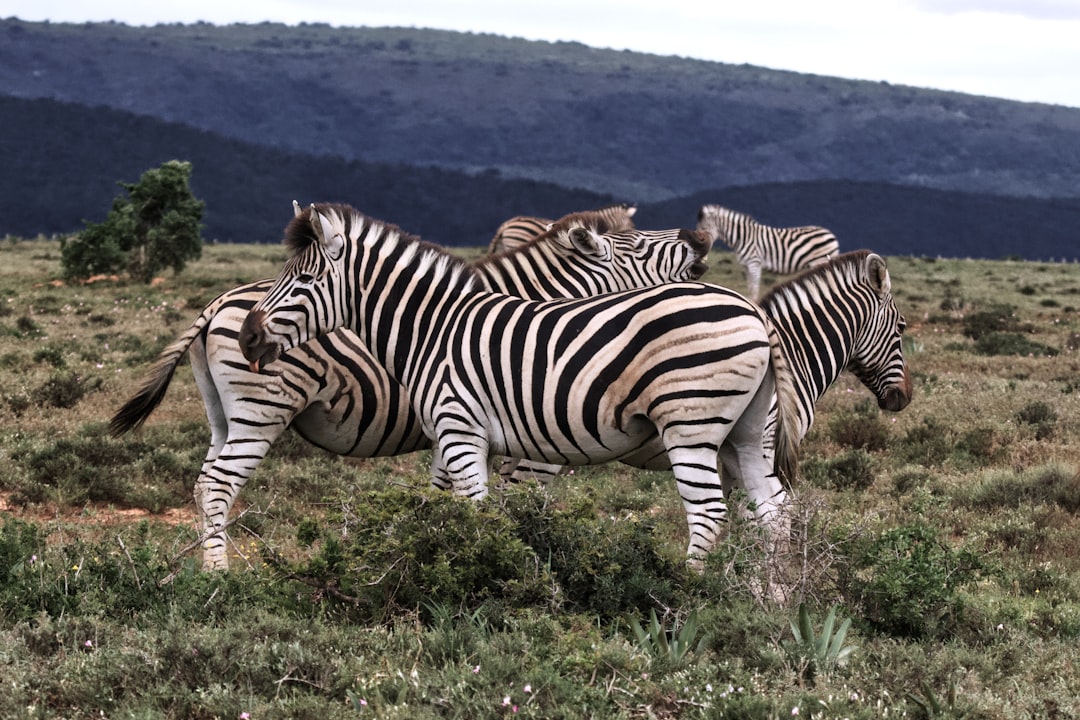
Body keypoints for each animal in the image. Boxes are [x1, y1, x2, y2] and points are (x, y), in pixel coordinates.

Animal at [695, 205, 838, 302]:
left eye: (703, 228)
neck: (743, 237)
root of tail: (830, 234)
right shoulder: (747, 266)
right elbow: (750, 288)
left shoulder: (754, 263)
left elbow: (754, 289)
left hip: (819, 260)